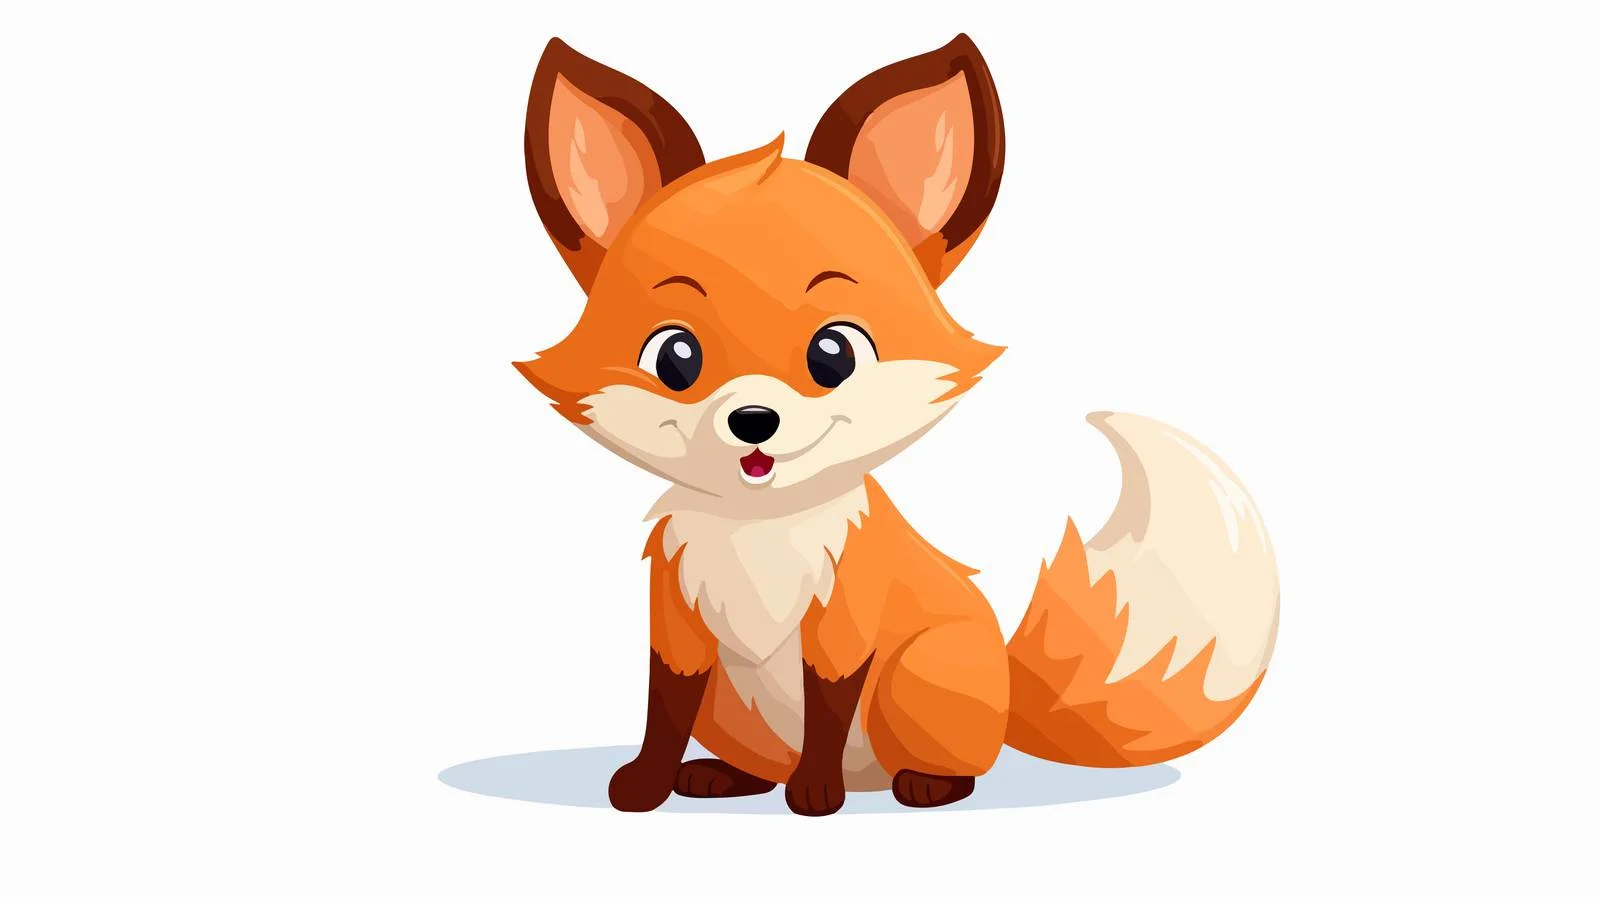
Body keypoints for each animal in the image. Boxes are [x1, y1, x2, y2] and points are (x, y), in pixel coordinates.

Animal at [513, 34, 1279, 815]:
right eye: (675, 357)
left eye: (834, 353)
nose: (753, 418)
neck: (760, 532)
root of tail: (1007, 698)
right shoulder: (678, 624)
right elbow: (662, 709)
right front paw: (647, 782)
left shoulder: (845, 622)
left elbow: (827, 706)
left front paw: (814, 793)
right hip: (733, 707)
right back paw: (725, 777)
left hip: (921, 676)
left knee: (950, 762)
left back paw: (922, 784)